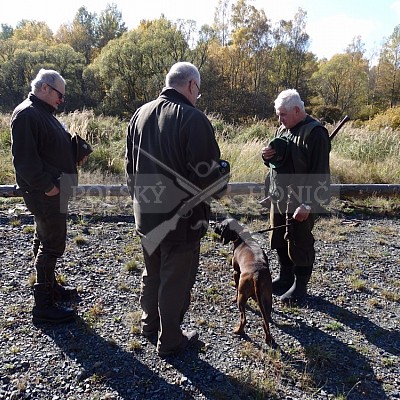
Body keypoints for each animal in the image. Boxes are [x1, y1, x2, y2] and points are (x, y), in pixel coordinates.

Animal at [214, 217, 274, 346]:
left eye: (221, 225)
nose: (214, 228)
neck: (241, 237)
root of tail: (257, 275)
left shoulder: (236, 272)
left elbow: (236, 288)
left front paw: (233, 297)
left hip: (242, 298)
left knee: (244, 319)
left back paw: (238, 331)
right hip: (268, 298)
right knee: (265, 320)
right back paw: (268, 338)